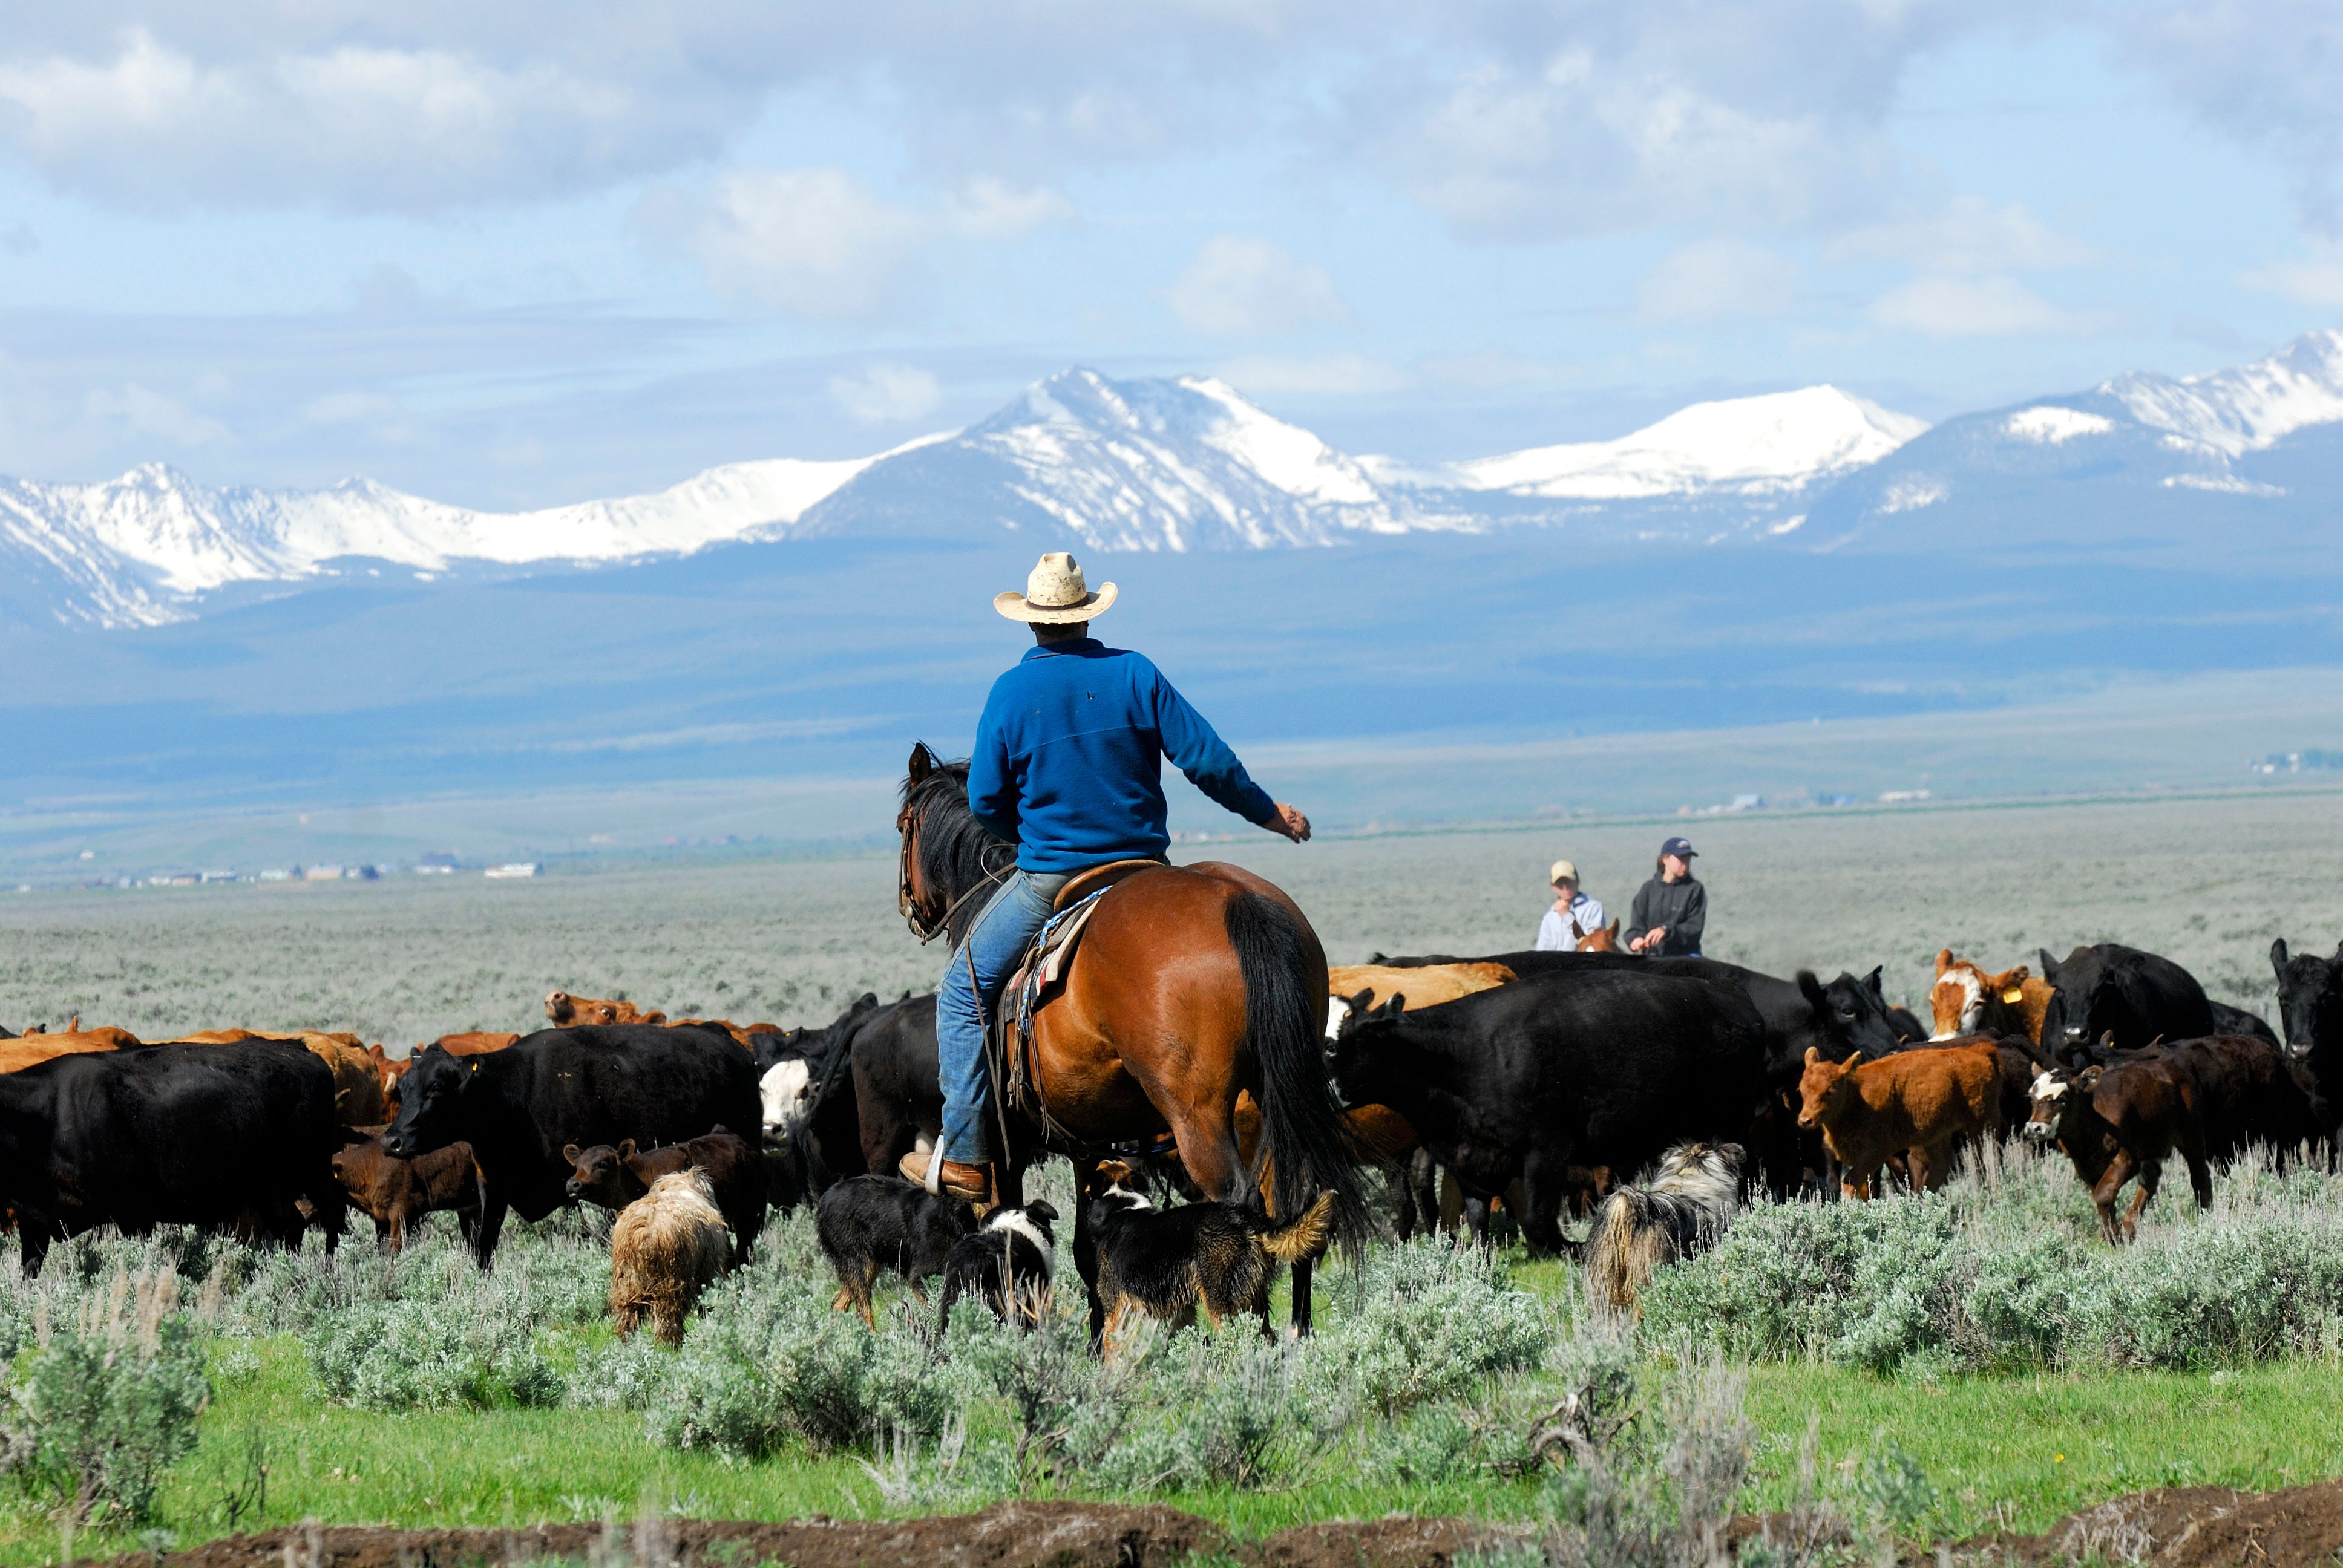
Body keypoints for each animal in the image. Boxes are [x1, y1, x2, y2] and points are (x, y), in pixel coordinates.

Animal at [0, 1039, 345, 1276]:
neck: (46, 1117)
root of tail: (300, 1050)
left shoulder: (134, 1213)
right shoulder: (33, 1221)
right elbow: (29, 1268)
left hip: (314, 1172)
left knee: (332, 1215)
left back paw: (329, 1270)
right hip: (271, 1190)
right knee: (292, 1226)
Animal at [1326, 969, 1769, 1257]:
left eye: (1331, 1046)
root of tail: (1727, 989)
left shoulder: (1547, 1150)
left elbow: (1539, 1220)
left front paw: (1575, 1248)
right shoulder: (1470, 1160)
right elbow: (1478, 1223)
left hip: (1732, 1121)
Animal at [1794, 1043, 2002, 1198]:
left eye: (1830, 1091)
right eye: (1801, 1089)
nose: (1805, 1120)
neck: (1856, 1095)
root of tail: (1979, 1051)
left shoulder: (1875, 1153)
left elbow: (1851, 1182)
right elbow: (1864, 1187)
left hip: (1980, 1124)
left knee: (1988, 1156)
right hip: (1936, 1136)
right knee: (1942, 1164)